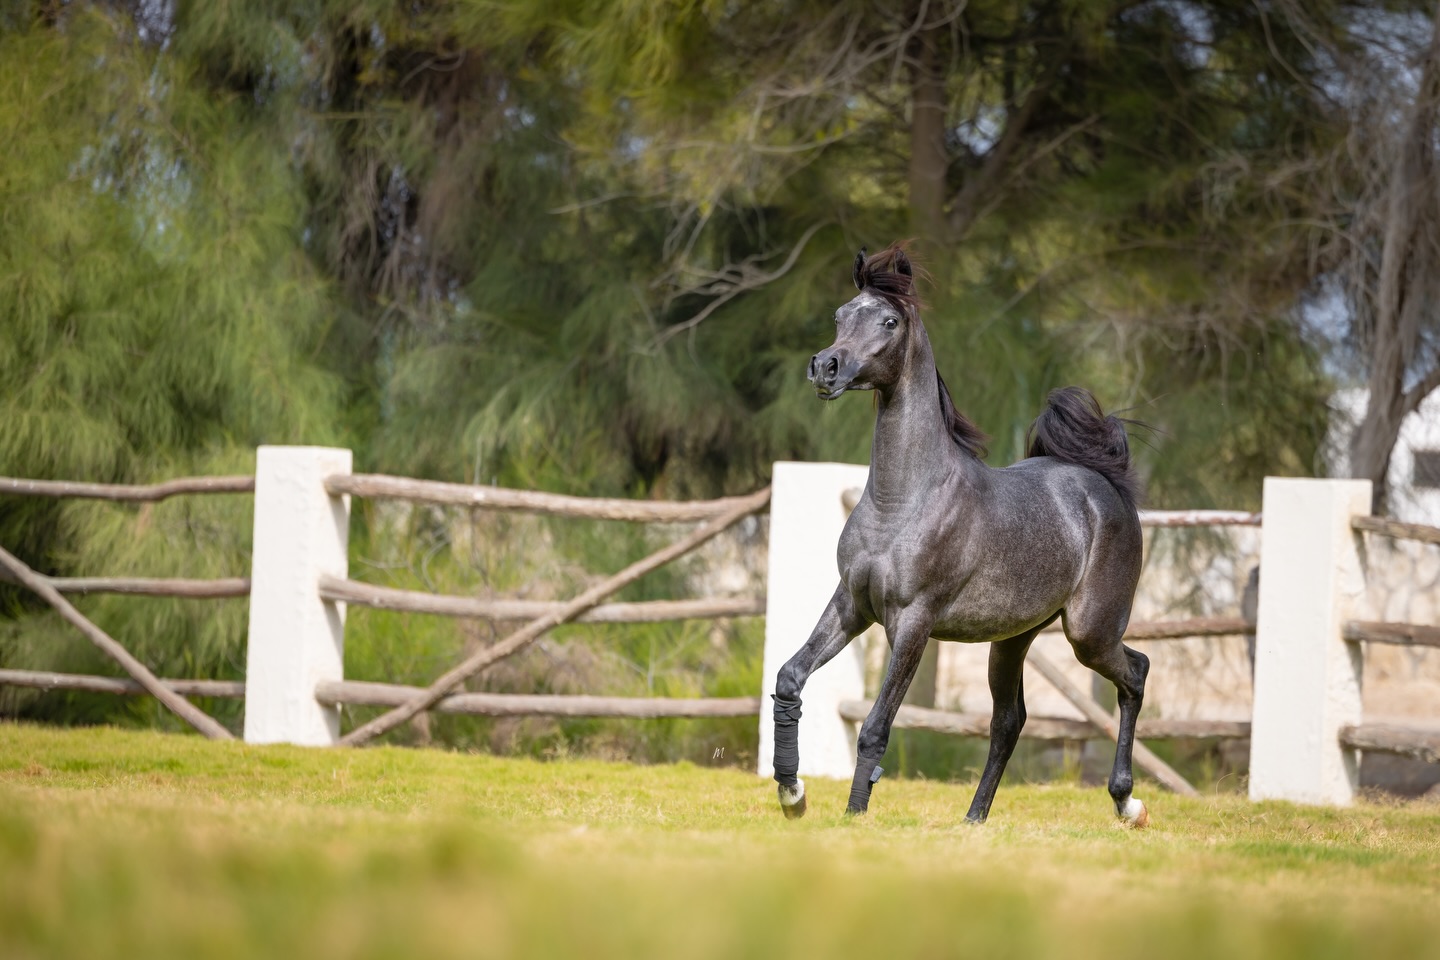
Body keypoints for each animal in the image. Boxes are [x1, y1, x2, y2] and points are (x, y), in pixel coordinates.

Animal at [771, 243, 1149, 827]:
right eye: (840, 314)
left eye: (889, 320)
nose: (825, 368)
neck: (903, 500)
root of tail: (1104, 486)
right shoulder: (852, 605)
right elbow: (790, 678)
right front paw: (793, 794)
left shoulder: (913, 621)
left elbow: (875, 728)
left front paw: (854, 817)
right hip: (1013, 638)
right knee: (1009, 722)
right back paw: (974, 820)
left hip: (1090, 632)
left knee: (1135, 674)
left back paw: (1127, 802)